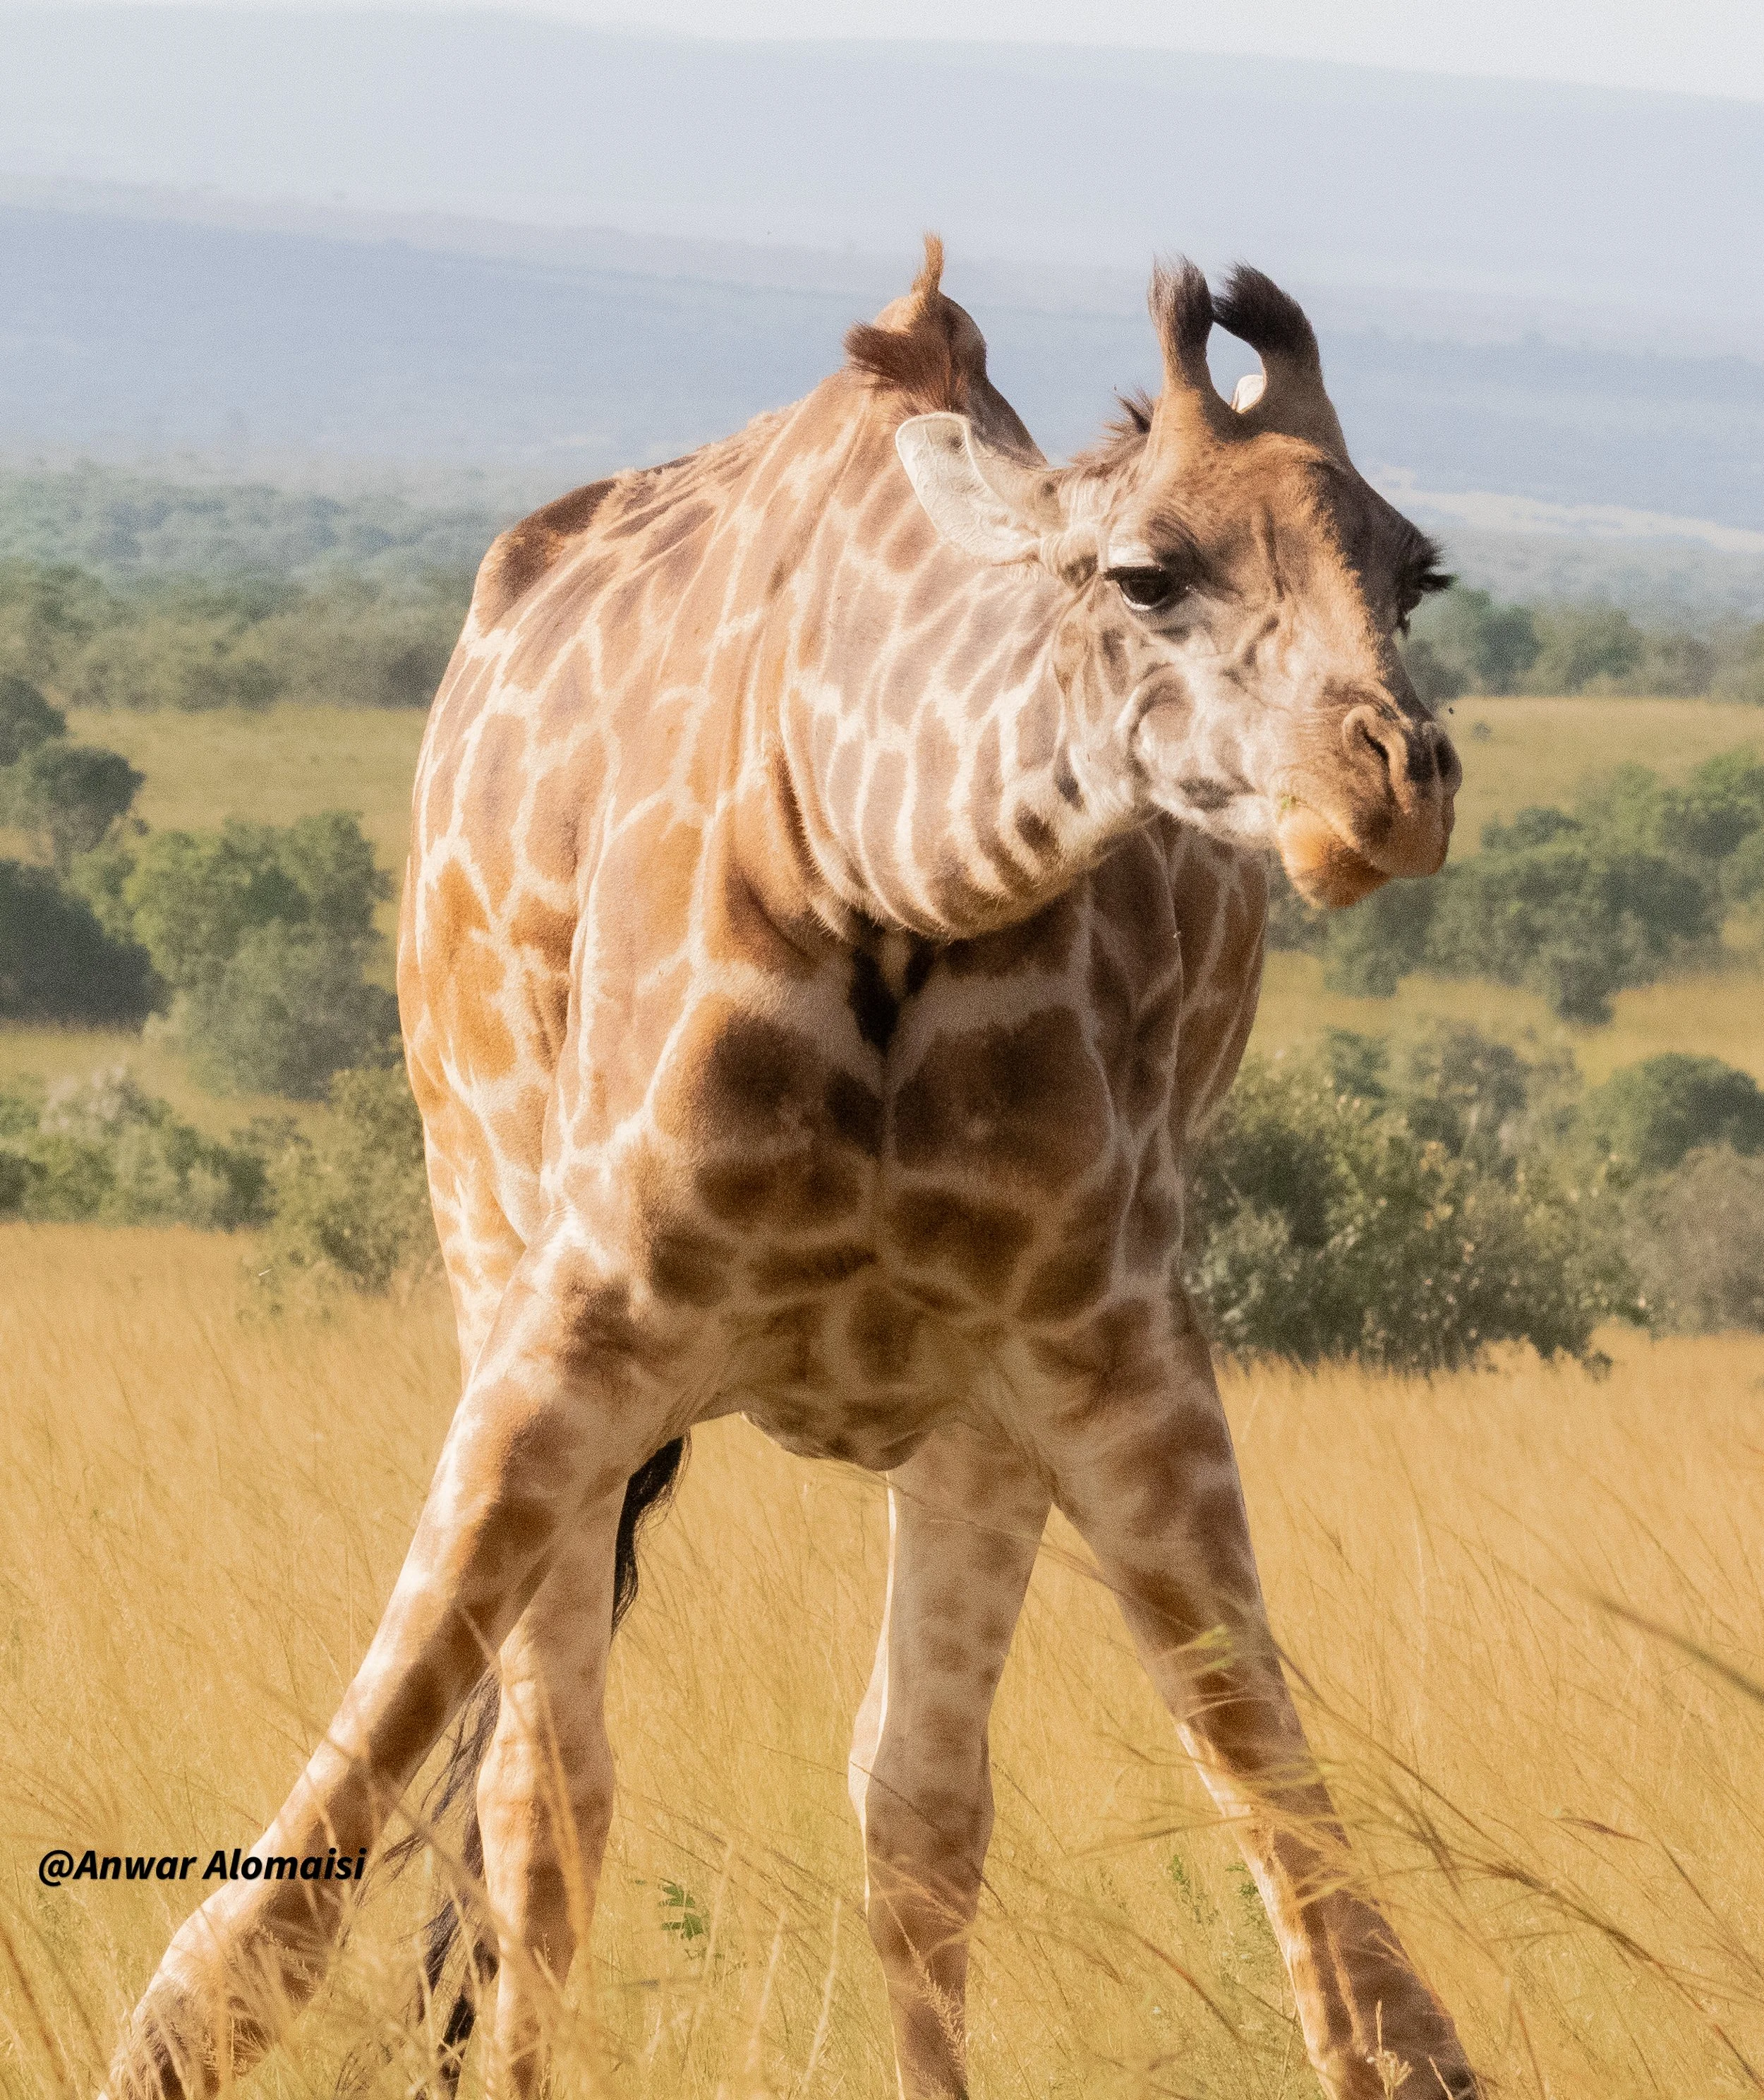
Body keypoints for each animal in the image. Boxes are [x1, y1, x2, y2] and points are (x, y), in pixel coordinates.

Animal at [105, 239, 1472, 2100]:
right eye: (1145, 576)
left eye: (1416, 575)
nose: (1395, 785)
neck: (878, 866)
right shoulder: (578, 1325)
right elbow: (252, 1940)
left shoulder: (1108, 1355)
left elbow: (1357, 1974)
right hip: (480, 1233)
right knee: (547, 1792)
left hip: (971, 1428)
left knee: (914, 1805)